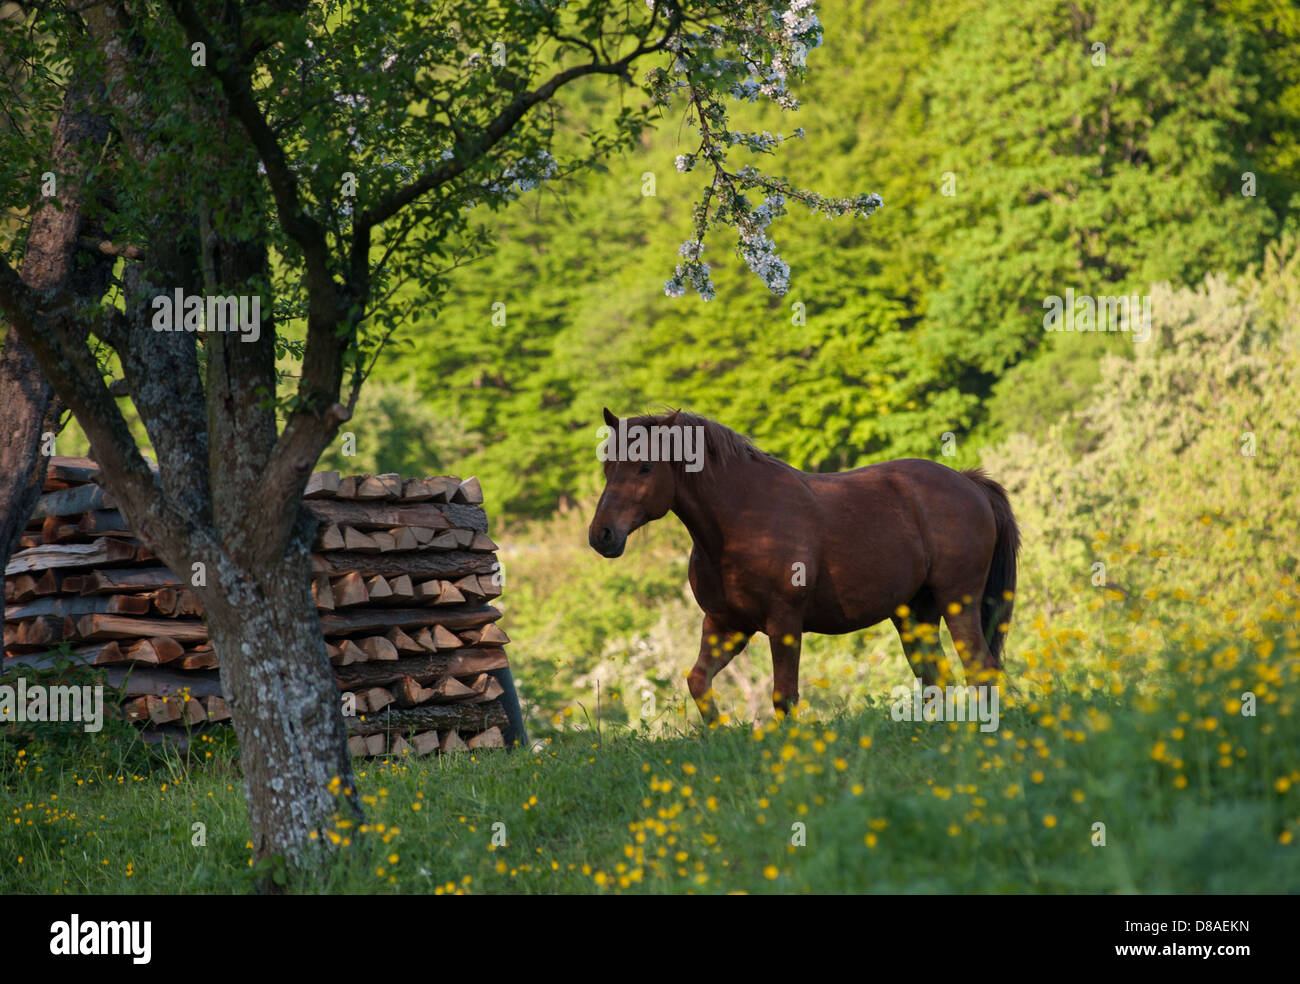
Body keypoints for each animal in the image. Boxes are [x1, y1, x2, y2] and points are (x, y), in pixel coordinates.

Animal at [588, 408, 1020, 723]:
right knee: (937, 678)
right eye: (608, 468)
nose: (602, 535)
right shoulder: (726, 625)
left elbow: (784, 696)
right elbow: (698, 681)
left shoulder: (784, 622)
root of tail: (967, 481)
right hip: (914, 614)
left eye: (644, 468)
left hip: (958, 601)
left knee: (981, 668)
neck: (742, 519)